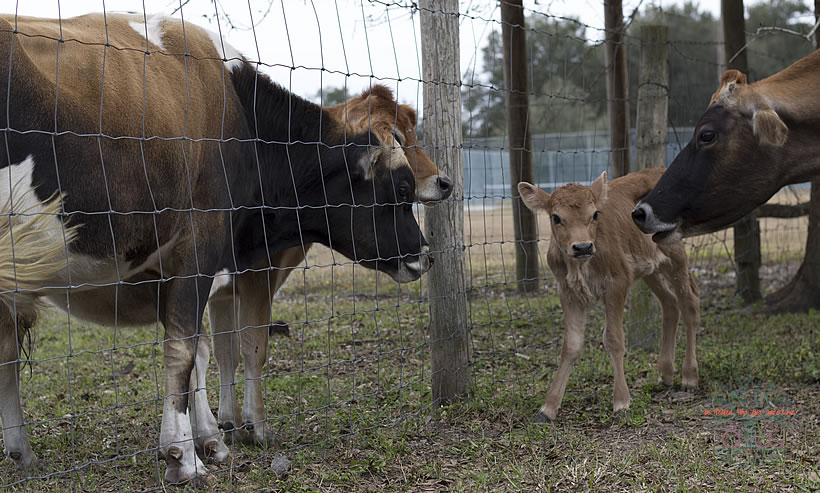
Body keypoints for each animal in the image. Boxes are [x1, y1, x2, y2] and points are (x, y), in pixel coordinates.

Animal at [0, 13, 432, 482]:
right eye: (401, 188)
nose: (425, 254)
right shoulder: (203, 245)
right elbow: (191, 348)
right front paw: (186, 452)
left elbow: (210, 348)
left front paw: (211, 436)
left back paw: (22, 451)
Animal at [520, 167, 700, 420]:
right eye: (556, 217)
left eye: (595, 214)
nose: (582, 247)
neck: (580, 267)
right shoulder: (568, 293)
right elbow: (571, 345)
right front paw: (548, 407)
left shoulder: (617, 283)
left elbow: (614, 339)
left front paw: (622, 401)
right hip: (650, 269)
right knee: (670, 303)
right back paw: (665, 373)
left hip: (675, 257)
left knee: (689, 302)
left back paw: (689, 376)